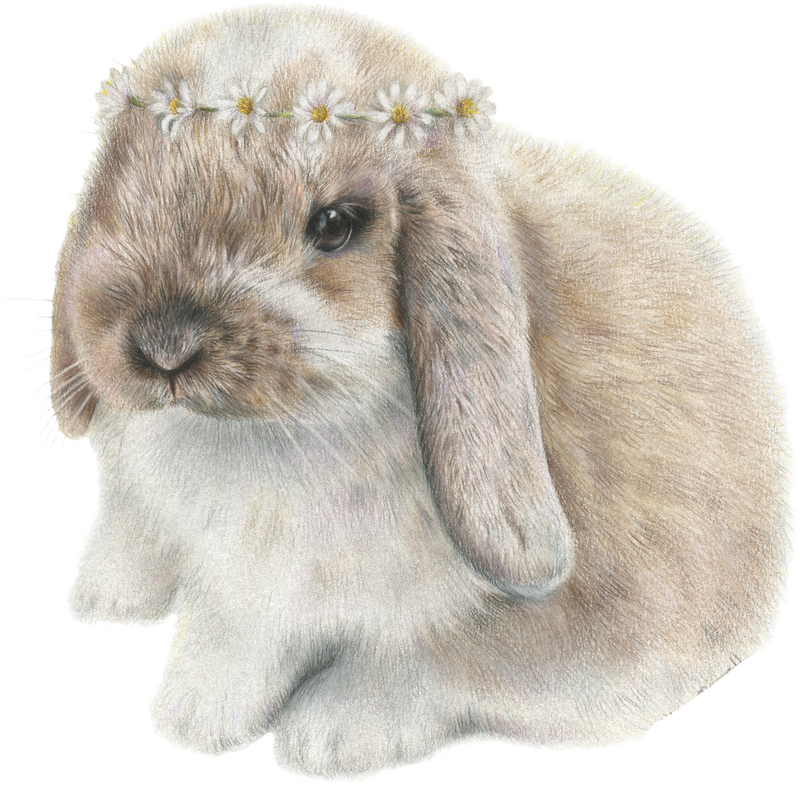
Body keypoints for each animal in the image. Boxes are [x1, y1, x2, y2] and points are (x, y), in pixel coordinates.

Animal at [35, 0, 795, 781]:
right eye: (125, 187)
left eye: (335, 225)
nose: (165, 347)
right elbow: (232, 629)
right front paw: (190, 701)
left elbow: (430, 662)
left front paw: (315, 733)